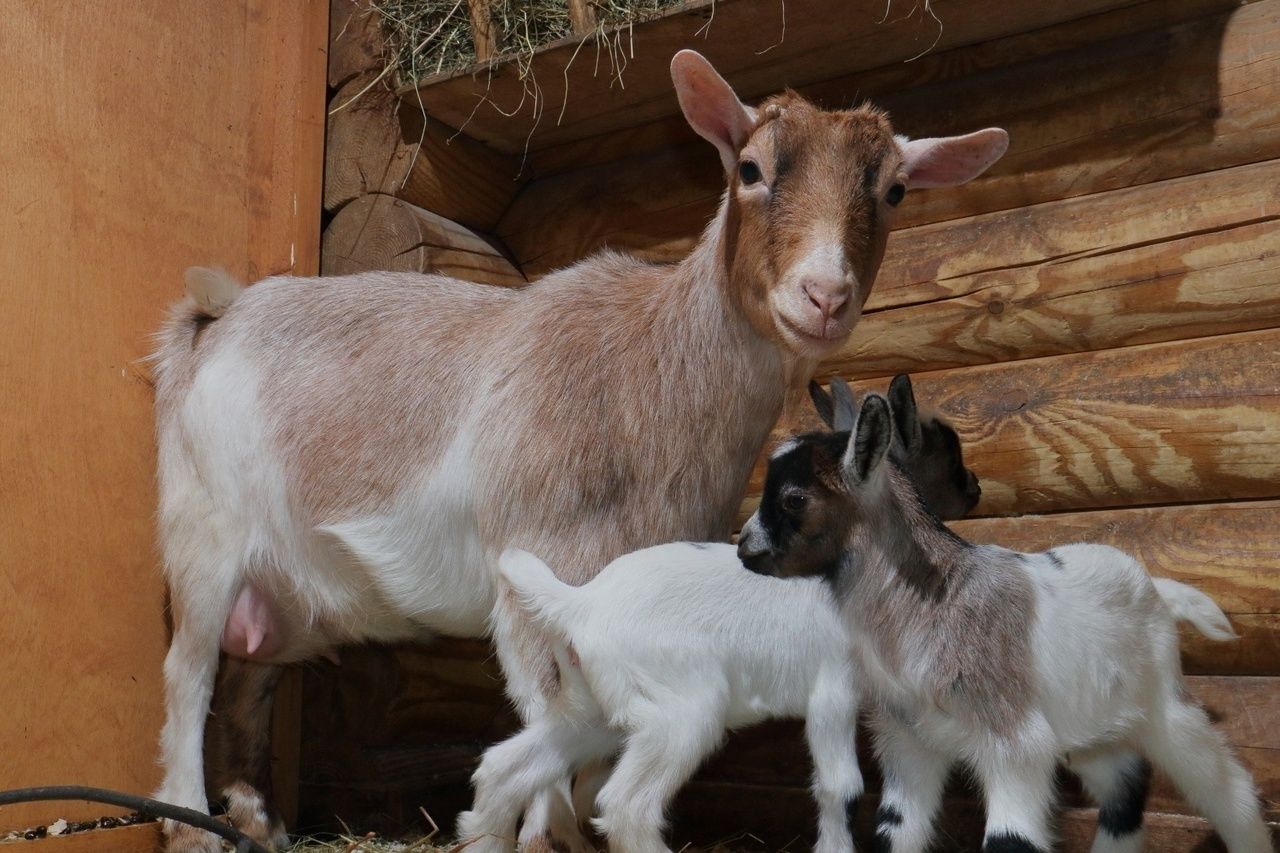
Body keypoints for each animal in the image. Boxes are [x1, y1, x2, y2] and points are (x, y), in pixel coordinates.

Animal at [152, 49, 1008, 845]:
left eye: (894, 191)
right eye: (751, 168)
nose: (825, 296)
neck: (651, 372)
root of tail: (212, 322)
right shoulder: (534, 568)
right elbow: (548, 720)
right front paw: (536, 831)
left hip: (290, 591)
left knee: (249, 677)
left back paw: (258, 818)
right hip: (203, 532)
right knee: (188, 672)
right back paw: (190, 820)